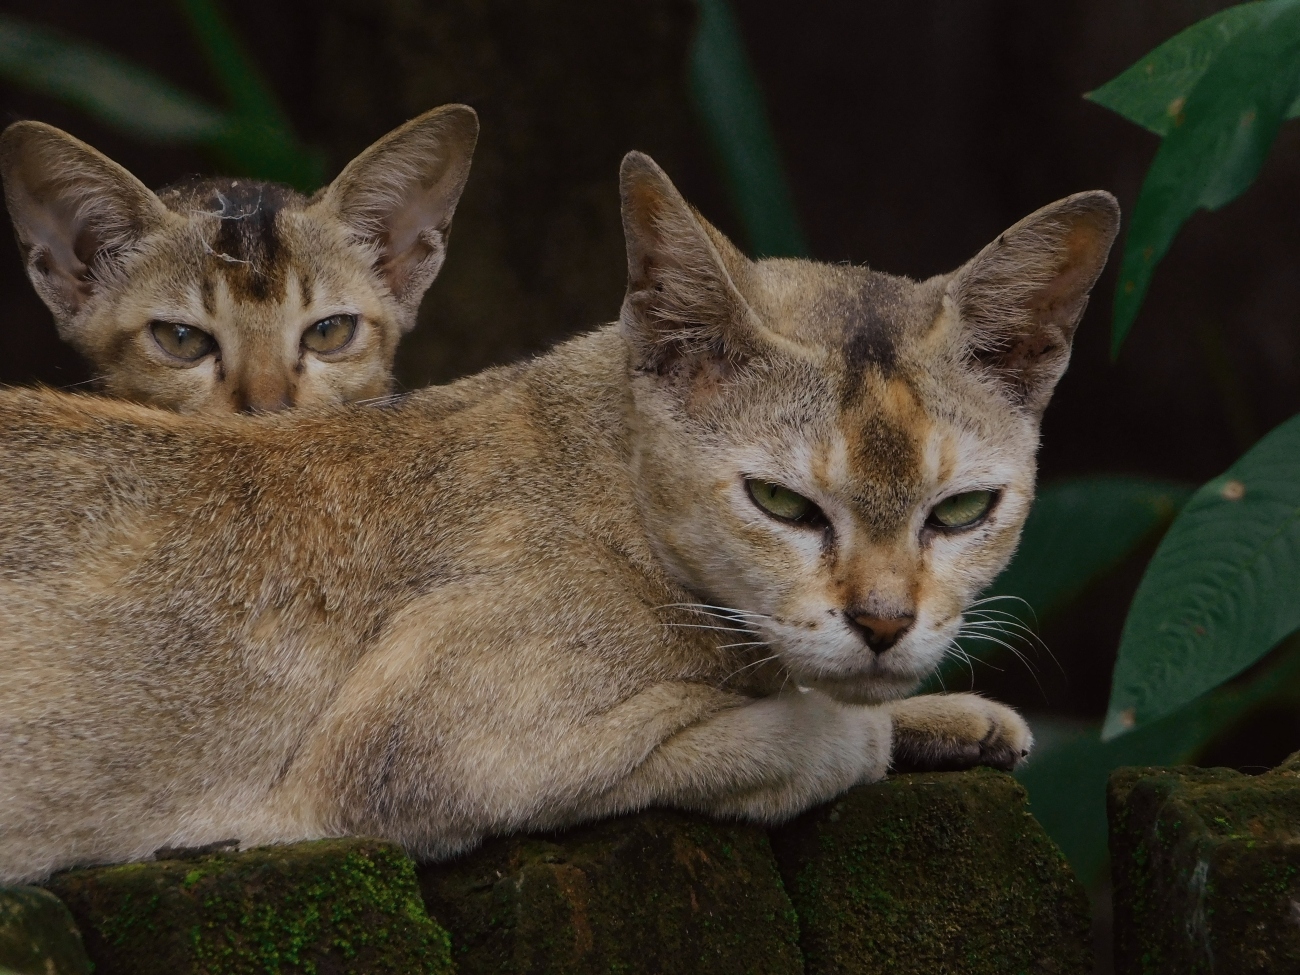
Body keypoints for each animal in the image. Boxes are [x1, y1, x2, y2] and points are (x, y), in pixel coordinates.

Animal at [0, 152, 1118, 883]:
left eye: (962, 509)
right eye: (782, 503)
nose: (884, 622)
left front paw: (947, 711)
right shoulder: (411, 758)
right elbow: (792, 735)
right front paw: (871, 730)